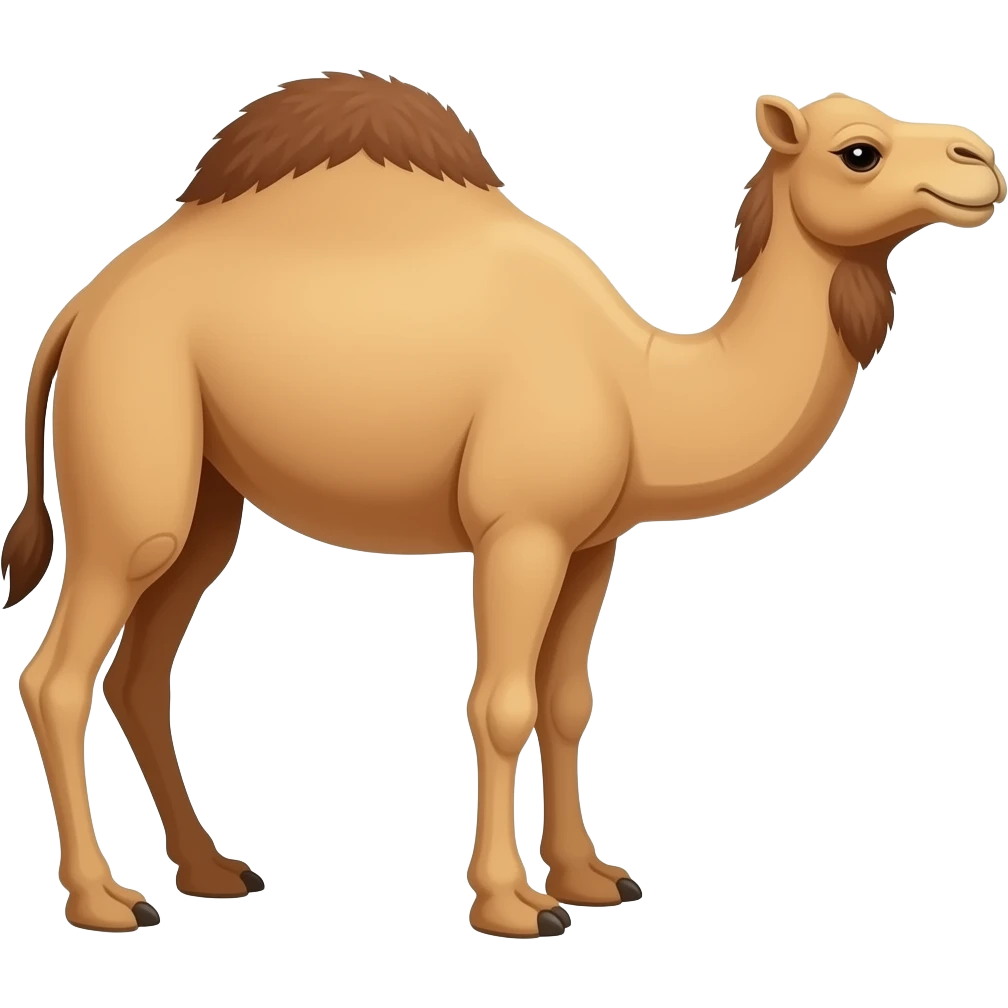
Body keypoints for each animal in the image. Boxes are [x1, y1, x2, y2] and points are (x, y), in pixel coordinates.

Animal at [3, 73, 1004, 939]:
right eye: (860, 151)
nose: (980, 158)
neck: (644, 385)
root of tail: (80, 309)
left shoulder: (594, 543)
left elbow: (566, 702)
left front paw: (592, 878)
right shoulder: (520, 530)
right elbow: (500, 704)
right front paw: (514, 906)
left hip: (208, 498)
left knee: (142, 671)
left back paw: (213, 871)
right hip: (135, 466)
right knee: (58, 675)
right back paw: (104, 900)